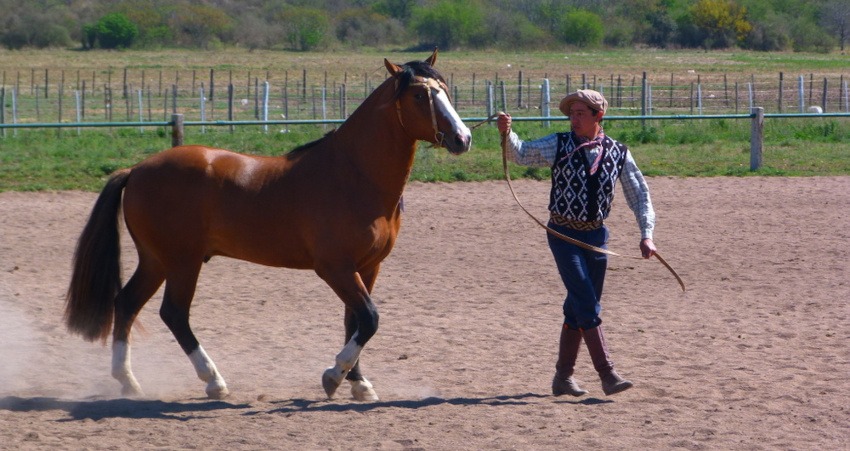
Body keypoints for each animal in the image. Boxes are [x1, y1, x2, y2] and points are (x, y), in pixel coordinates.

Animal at [64, 50, 471, 402]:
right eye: (419, 94)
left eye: (445, 90)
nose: (462, 138)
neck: (353, 175)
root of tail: (136, 170)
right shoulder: (335, 268)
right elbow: (369, 319)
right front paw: (333, 375)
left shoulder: (367, 267)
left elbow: (354, 321)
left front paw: (358, 384)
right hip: (182, 262)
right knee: (174, 314)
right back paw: (213, 381)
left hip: (156, 261)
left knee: (126, 304)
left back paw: (128, 381)